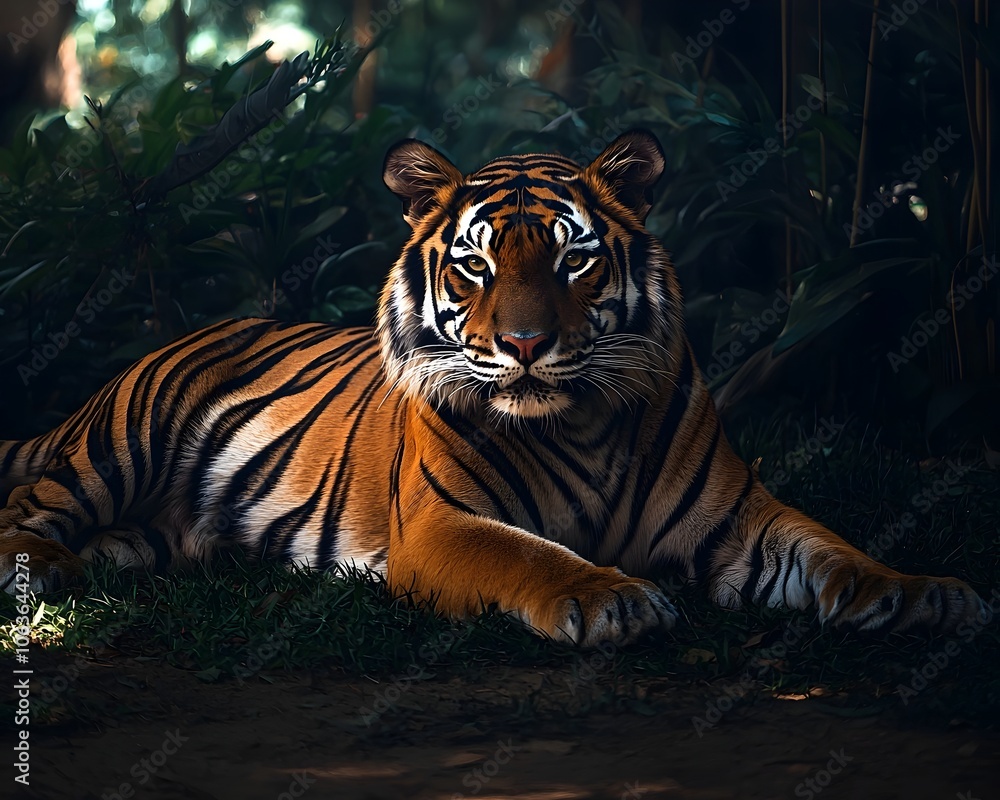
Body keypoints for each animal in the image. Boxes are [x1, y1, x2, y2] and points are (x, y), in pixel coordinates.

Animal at [0, 130, 986, 647]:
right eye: (474, 265)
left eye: (573, 259)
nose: (523, 344)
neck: (580, 423)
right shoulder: (442, 527)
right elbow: (534, 557)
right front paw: (618, 598)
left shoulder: (739, 517)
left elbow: (835, 549)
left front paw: (926, 594)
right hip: (118, 444)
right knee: (28, 506)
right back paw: (40, 567)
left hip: (157, 533)